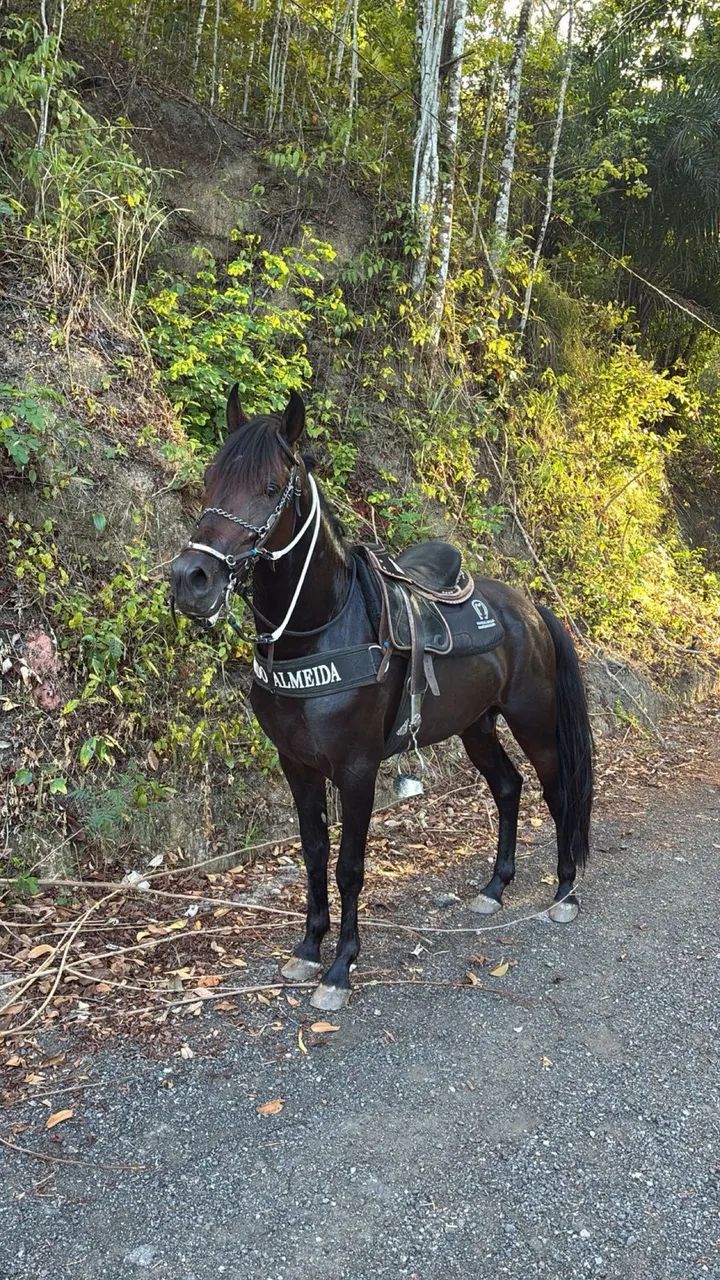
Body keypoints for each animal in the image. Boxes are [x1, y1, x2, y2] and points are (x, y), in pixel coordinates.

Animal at [170, 386, 594, 1011]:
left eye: (271, 488)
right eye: (210, 479)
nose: (191, 579)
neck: (318, 631)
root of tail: (529, 606)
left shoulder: (356, 768)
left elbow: (349, 865)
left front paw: (340, 967)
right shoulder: (296, 765)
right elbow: (314, 852)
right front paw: (308, 949)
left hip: (533, 722)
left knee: (557, 788)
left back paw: (564, 892)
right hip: (476, 726)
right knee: (508, 787)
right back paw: (495, 887)